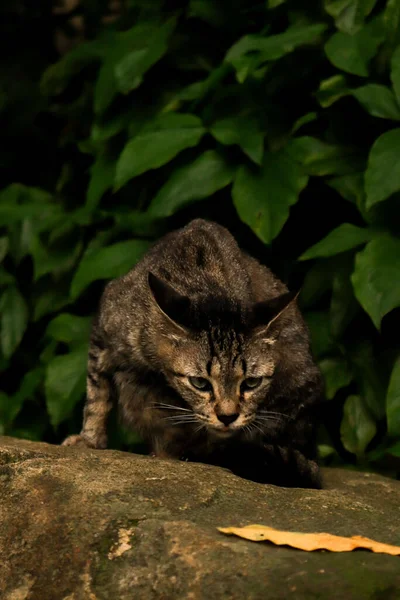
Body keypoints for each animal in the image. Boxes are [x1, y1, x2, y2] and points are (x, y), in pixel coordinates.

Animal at [63, 218, 324, 490]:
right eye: (200, 383)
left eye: (252, 383)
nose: (228, 417)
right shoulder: (104, 331)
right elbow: (97, 395)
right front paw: (90, 439)